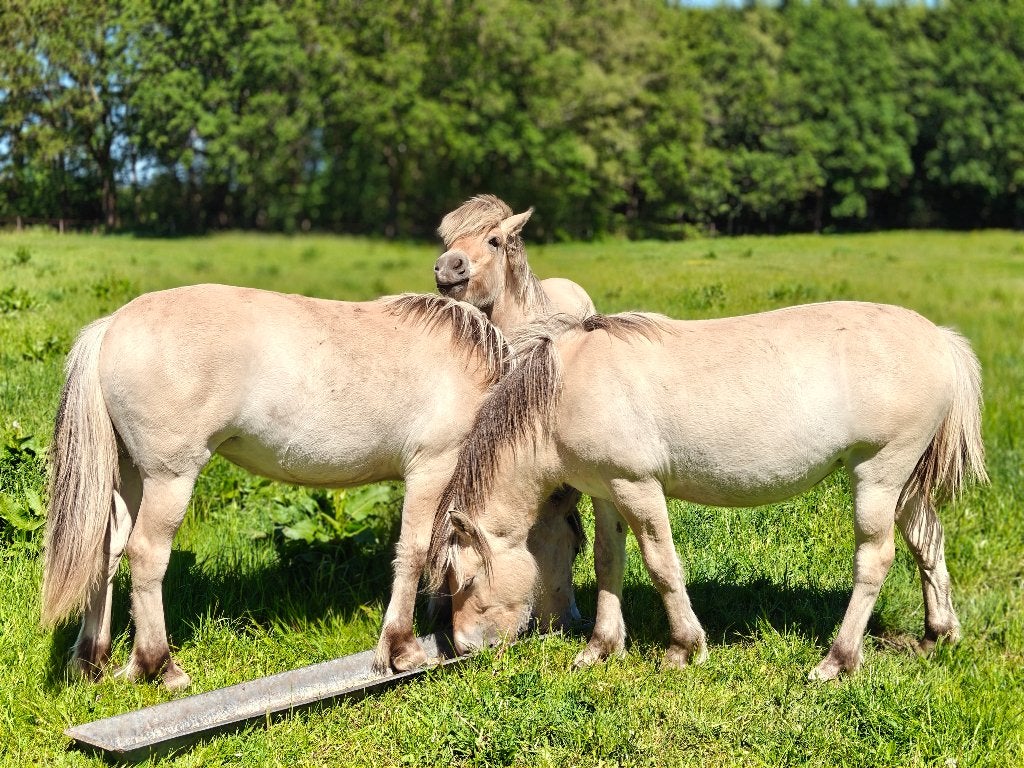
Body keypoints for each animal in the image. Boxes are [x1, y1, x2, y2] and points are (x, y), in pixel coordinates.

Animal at [42, 285, 583, 689]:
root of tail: (111, 326)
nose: (565, 624)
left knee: (106, 549)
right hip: (168, 478)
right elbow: (414, 551)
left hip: (130, 474)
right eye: (574, 546)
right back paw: (158, 665)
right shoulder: (432, 468)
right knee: (146, 554)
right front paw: (401, 647)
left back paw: (91, 659)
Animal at [426, 302, 988, 680]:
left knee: (875, 558)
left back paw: (838, 660)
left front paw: (683, 648)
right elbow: (609, 562)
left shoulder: (637, 487)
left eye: (465, 581)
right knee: (927, 542)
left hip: (878, 474)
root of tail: (939, 338)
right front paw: (601, 647)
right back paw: (937, 635)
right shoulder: (607, 492)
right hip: (905, 482)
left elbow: (661, 565)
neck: (565, 390)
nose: (464, 649)